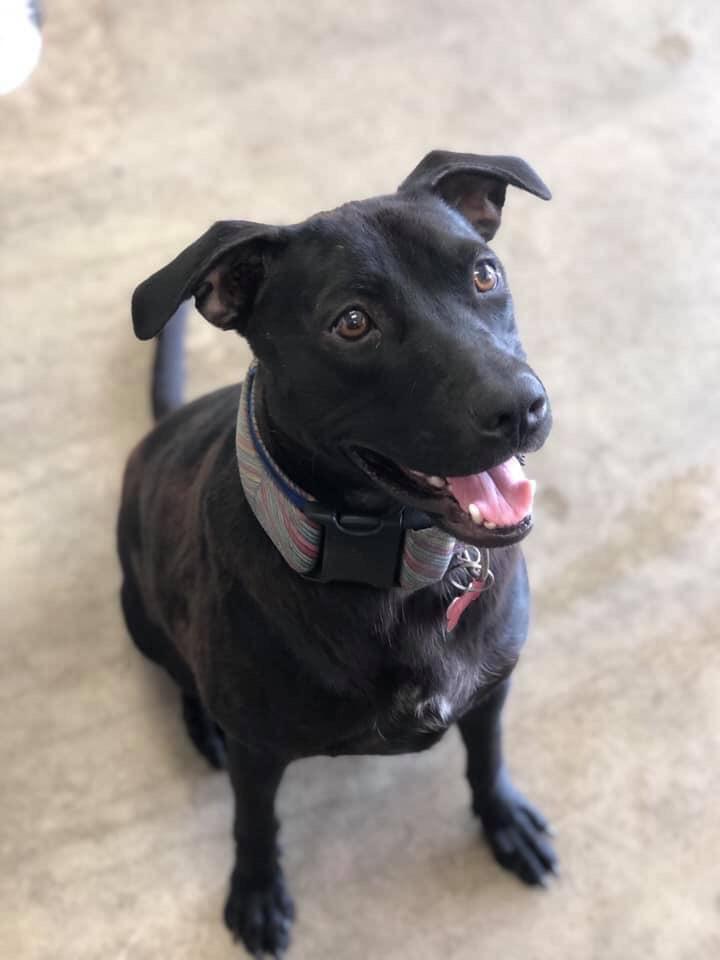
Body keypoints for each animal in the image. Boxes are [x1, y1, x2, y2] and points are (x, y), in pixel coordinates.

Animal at [118, 150, 556, 952]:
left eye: (485, 274)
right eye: (353, 323)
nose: (522, 407)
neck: (399, 567)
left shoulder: (491, 690)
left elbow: (488, 758)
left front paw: (504, 820)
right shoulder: (259, 755)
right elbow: (255, 824)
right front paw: (257, 893)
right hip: (139, 611)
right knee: (178, 674)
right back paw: (200, 723)